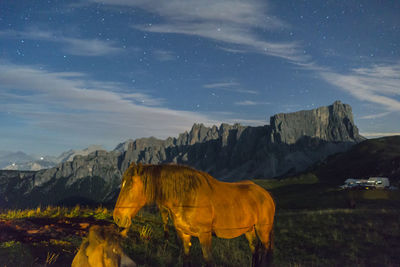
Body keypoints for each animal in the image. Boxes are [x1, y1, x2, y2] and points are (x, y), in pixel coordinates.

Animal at [112, 164, 276, 266]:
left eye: (130, 186)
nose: (117, 217)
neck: (188, 197)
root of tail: (266, 195)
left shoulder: (205, 235)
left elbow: (208, 260)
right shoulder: (184, 234)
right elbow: (186, 258)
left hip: (263, 230)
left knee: (266, 252)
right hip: (249, 230)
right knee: (255, 249)